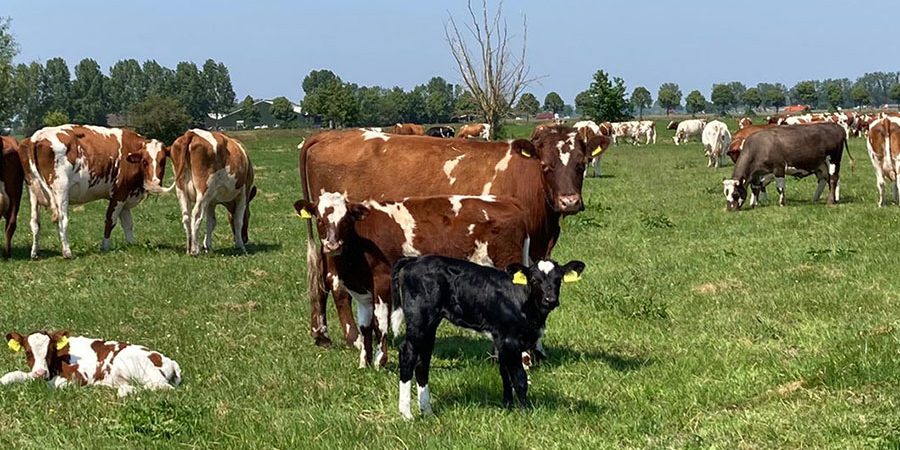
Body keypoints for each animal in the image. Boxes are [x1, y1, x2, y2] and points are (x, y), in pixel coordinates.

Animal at [2, 330, 181, 397]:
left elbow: (56, 384)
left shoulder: (80, 376)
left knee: (156, 387)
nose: (40, 372)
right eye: (28, 352)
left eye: (50, 351)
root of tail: (168, 360)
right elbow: (15, 374)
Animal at [18, 125, 170, 259]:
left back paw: (34, 253)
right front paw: (105, 246)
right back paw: (67, 252)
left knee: (35, 223)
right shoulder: (118, 194)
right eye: (144, 161)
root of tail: (37, 136)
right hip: (61, 190)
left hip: (33, 191)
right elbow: (110, 221)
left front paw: (131, 244)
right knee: (62, 220)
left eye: (163, 161)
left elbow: (128, 224)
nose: (155, 184)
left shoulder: (126, 195)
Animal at [294, 193, 529, 368]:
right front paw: (364, 363)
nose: (332, 245)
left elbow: (380, 322)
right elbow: (365, 326)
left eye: (345, 221)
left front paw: (380, 361)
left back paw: (524, 362)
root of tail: (509, 202)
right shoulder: (362, 291)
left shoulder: (382, 280)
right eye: (320, 219)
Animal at [298, 126, 602, 347]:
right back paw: (355, 339)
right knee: (335, 283)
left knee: (322, 282)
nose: (569, 202)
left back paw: (321, 334)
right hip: (335, 242)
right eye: (546, 166)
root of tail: (330, 135)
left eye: (581, 164)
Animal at [391, 255, 585, 418]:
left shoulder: (502, 340)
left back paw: (428, 411)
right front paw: (525, 412)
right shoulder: (510, 340)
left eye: (558, 279)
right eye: (534, 280)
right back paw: (406, 414)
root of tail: (413, 260)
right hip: (418, 319)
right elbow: (519, 378)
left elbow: (505, 374)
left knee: (423, 359)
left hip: (430, 323)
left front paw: (507, 406)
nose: (550, 300)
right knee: (407, 353)